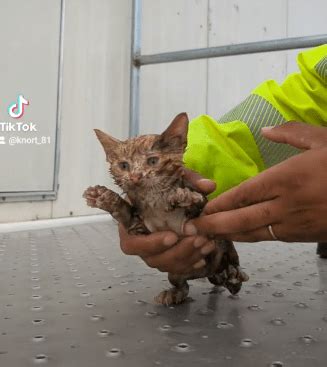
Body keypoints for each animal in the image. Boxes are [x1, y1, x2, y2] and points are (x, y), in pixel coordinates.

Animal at [82, 113, 249, 306]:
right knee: (184, 285)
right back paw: (176, 292)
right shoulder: (140, 227)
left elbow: (199, 201)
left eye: (153, 161)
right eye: (124, 166)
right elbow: (126, 215)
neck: (156, 203)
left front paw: (182, 196)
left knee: (231, 262)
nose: (135, 177)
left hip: (225, 250)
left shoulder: (202, 213)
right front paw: (104, 197)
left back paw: (234, 275)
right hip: (177, 274)